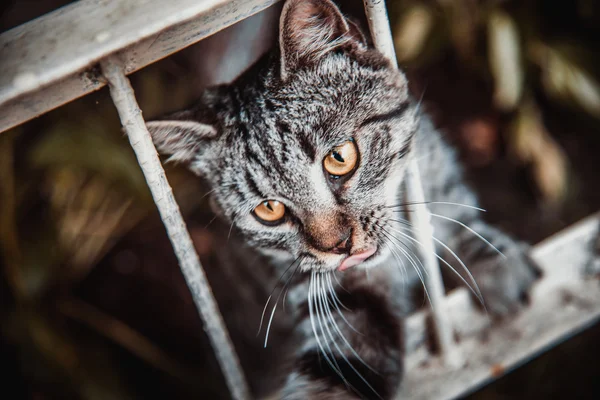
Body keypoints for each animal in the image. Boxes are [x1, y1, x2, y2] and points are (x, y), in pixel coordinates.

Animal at [144, 0, 540, 398]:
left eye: (339, 157)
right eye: (269, 209)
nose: (339, 246)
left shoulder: (433, 168)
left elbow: (452, 214)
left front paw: (498, 264)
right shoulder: (329, 292)